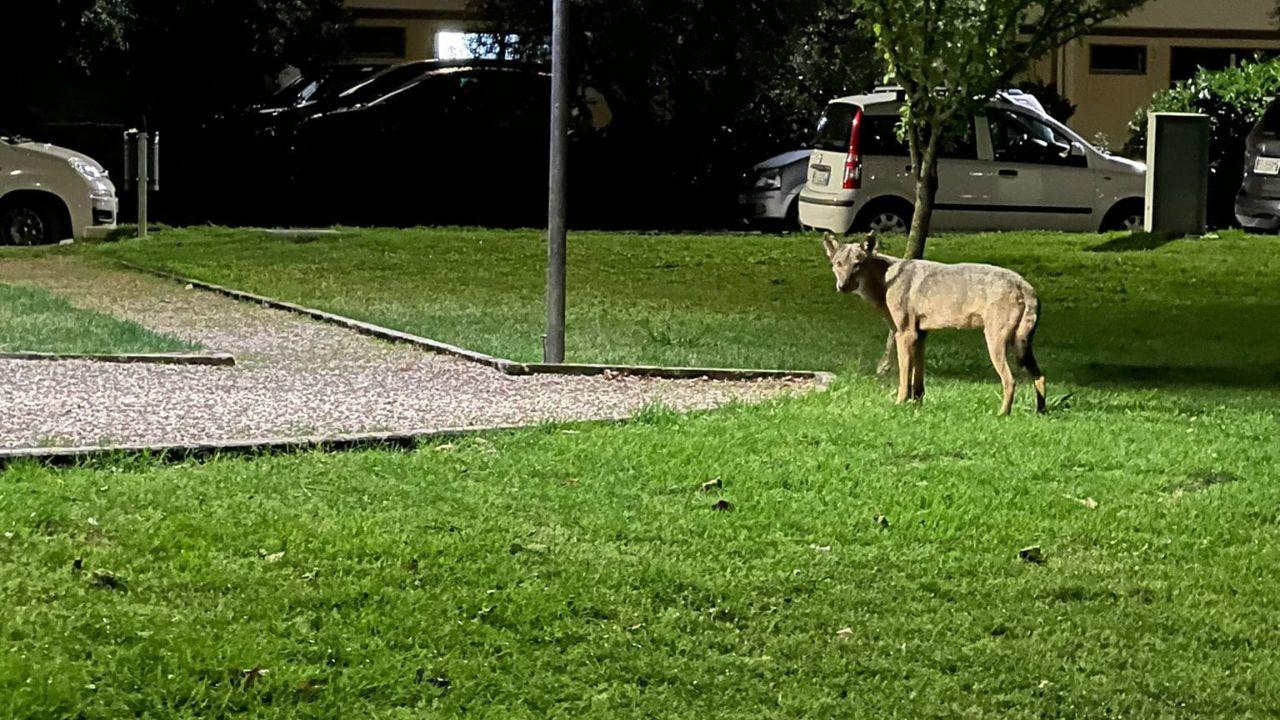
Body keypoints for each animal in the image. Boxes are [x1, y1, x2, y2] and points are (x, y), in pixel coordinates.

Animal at [823, 232, 1046, 415]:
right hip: (1022, 347)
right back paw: (1041, 412)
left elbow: (904, 378)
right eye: (839, 264)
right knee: (1040, 377)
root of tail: (1024, 284)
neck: (886, 280)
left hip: (996, 345)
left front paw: (899, 404)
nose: (842, 286)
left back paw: (1002, 414)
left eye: (857, 265)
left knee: (1010, 381)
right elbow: (918, 381)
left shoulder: (905, 335)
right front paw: (916, 406)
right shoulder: (920, 336)